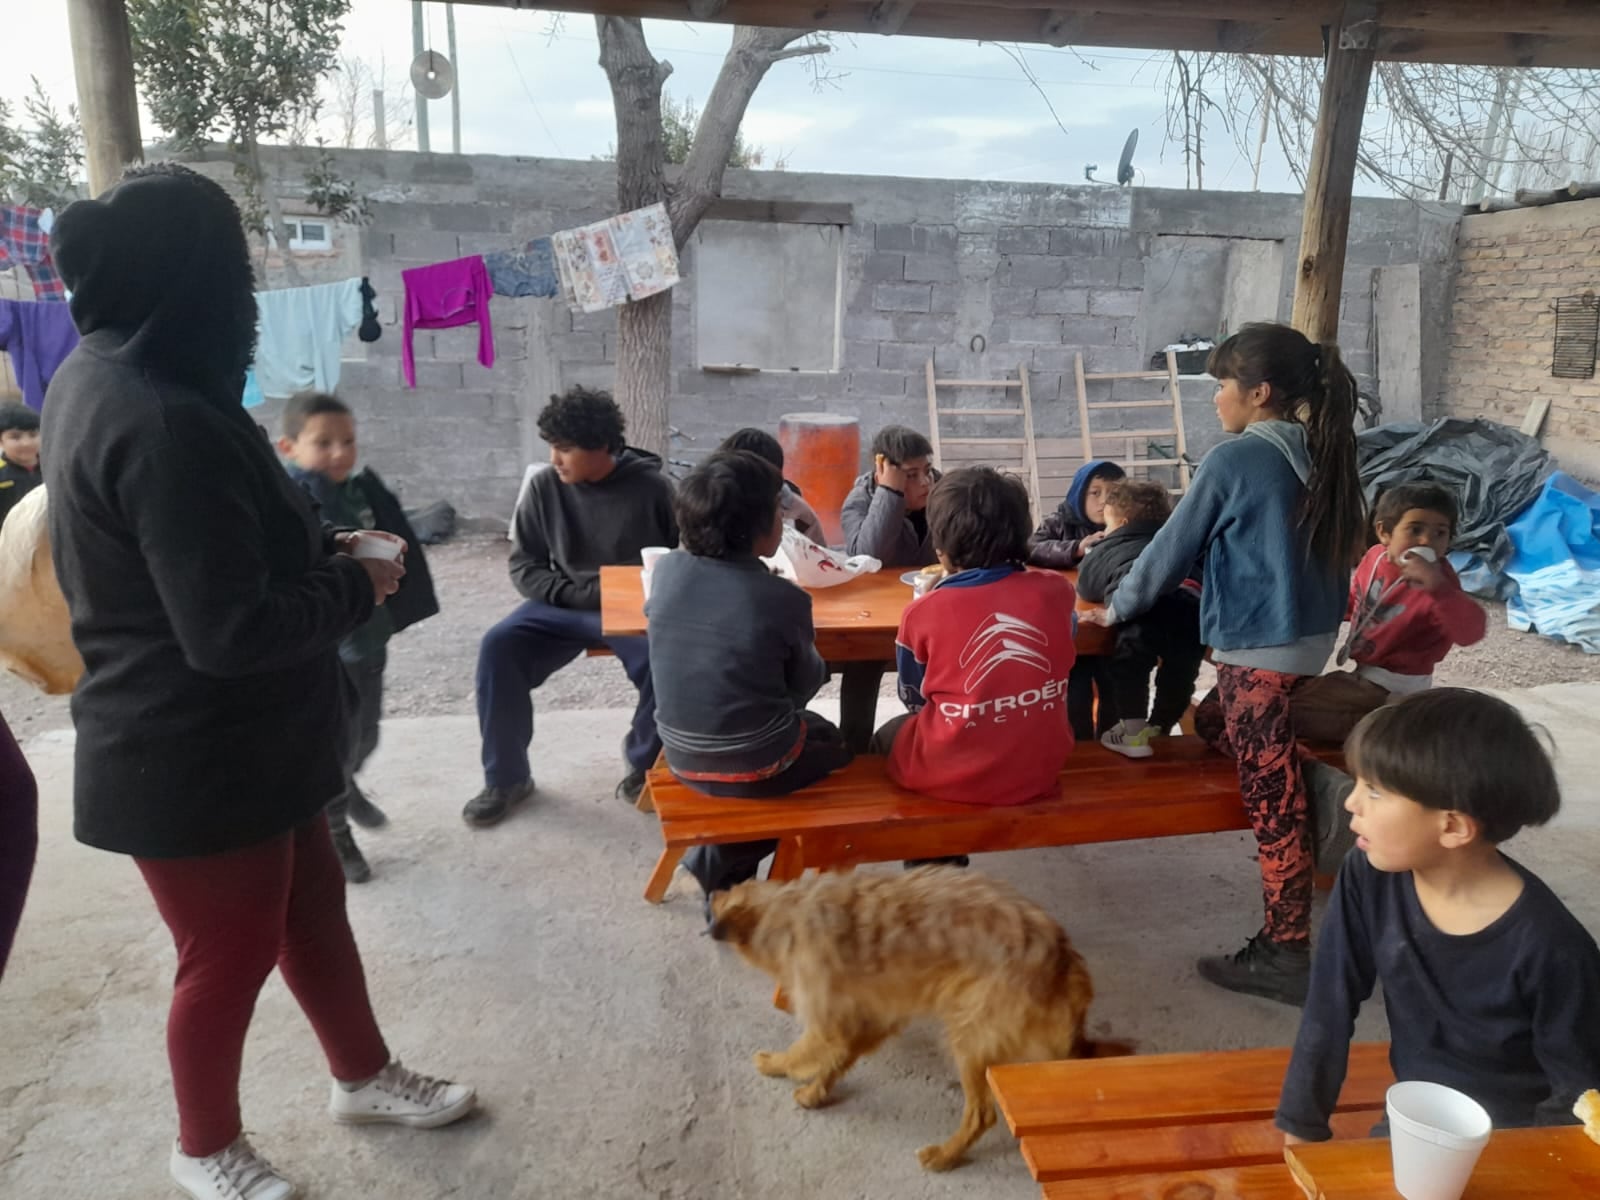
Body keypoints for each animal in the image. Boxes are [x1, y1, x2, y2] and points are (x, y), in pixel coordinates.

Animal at [710, 870, 1100, 1171]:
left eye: (727, 892)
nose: (712, 890)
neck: (788, 913)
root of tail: (1064, 961)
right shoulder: (873, 1017)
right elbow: (839, 1057)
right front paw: (815, 1092)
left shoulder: (828, 1020)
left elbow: (802, 1050)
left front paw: (777, 1064)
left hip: (970, 1041)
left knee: (981, 1114)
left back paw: (944, 1156)